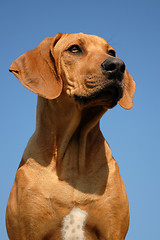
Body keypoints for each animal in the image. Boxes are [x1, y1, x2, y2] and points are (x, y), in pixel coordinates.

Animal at [6, 32, 136, 240]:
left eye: (111, 52)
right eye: (74, 49)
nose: (117, 65)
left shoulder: (113, 229)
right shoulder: (27, 230)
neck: (72, 160)